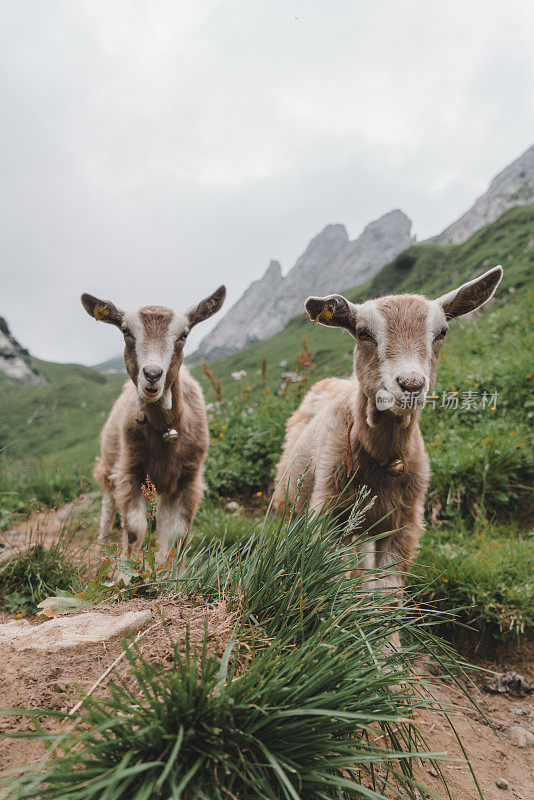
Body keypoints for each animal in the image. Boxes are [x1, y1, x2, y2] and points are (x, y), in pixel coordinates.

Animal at [274, 268, 504, 588]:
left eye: (442, 332)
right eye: (362, 333)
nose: (410, 384)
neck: (381, 456)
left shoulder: (403, 523)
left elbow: (387, 591)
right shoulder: (329, 513)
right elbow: (339, 580)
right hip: (293, 501)